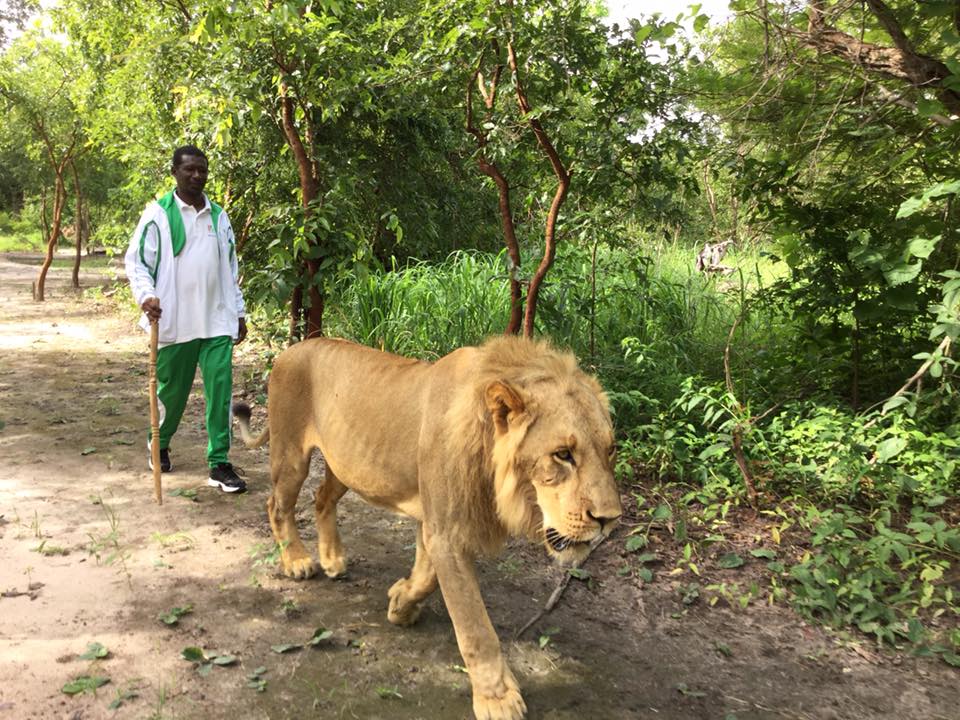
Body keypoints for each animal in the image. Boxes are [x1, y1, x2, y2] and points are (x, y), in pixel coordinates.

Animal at [234, 336, 624, 720]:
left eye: (610, 450)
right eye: (563, 454)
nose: (610, 519)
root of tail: (293, 349)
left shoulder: (436, 523)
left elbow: (426, 576)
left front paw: (400, 603)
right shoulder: (446, 531)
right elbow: (474, 625)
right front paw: (497, 698)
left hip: (346, 465)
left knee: (321, 498)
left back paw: (332, 559)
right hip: (290, 455)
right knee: (277, 505)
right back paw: (297, 562)